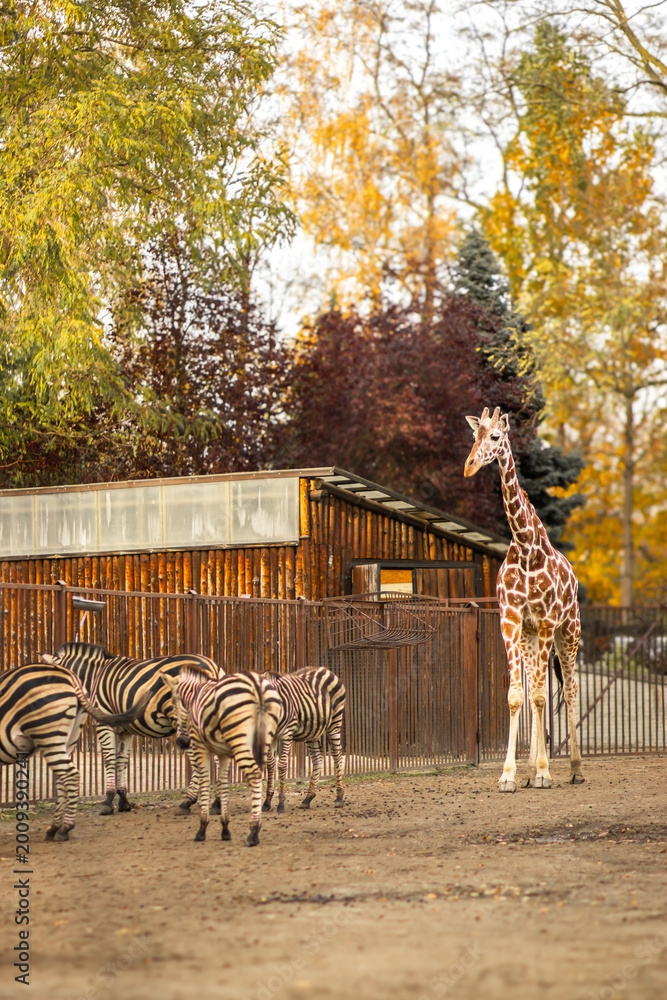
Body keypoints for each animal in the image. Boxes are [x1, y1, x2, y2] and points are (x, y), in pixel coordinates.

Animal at [0, 662, 147, 841]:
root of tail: (70, 676)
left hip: (48, 734)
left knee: (71, 775)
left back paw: (64, 828)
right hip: (69, 736)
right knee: (62, 779)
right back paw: (55, 828)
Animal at [41, 642, 221, 815]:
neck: (93, 677)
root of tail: (211, 666)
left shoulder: (104, 724)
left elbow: (109, 759)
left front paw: (107, 802)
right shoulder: (125, 730)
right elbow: (122, 760)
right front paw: (123, 801)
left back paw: (189, 802)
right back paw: (215, 803)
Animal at [163, 666, 283, 846]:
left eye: (174, 703)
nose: (181, 742)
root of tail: (257, 685)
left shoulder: (200, 746)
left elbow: (205, 781)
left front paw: (202, 827)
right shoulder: (223, 753)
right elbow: (224, 784)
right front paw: (225, 828)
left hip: (240, 740)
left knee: (255, 774)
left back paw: (253, 831)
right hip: (264, 737)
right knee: (267, 766)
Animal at [262, 667, 346, 814]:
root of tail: (326, 669)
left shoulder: (286, 733)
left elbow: (282, 765)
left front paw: (281, 803)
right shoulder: (271, 736)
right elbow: (270, 764)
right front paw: (267, 802)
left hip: (335, 722)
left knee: (337, 756)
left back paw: (339, 797)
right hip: (313, 730)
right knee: (317, 758)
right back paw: (308, 798)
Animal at [463, 406, 584, 791]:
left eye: (495, 437)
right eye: (473, 436)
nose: (469, 465)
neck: (526, 545)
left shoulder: (546, 621)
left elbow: (543, 695)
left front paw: (544, 772)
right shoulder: (512, 620)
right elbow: (518, 696)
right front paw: (510, 775)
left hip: (568, 633)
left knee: (570, 689)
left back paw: (574, 769)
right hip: (532, 638)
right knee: (536, 691)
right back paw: (532, 770)